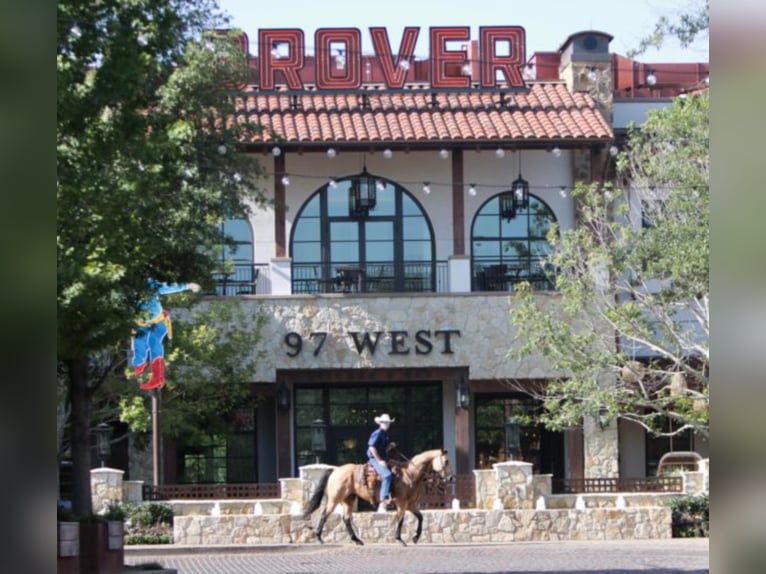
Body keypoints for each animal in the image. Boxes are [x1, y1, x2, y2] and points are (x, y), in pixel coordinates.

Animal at [304, 448, 452, 548]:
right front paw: (400, 539)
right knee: (324, 515)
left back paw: (357, 540)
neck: (410, 474)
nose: (450, 478)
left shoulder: (410, 504)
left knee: (346, 519)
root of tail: (335, 470)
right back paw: (319, 538)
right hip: (334, 499)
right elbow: (401, 519)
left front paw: (415, 538)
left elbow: (420, 517)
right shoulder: (402, 503)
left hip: (349, 500)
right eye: (446, 461)